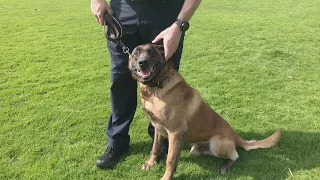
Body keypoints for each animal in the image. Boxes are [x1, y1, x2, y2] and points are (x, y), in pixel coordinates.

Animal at [128, 44, 282, 180]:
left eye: (151, 52)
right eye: (136, 53)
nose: (142, 62)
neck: (156, 87)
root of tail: (236, 136)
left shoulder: (175, 132)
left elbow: (170, 160)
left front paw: (166, 177)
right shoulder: (158, 128)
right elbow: (156, 147)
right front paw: (151, 163)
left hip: (216, 141)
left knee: (235, 155)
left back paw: (226, 166)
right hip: (195, 148)